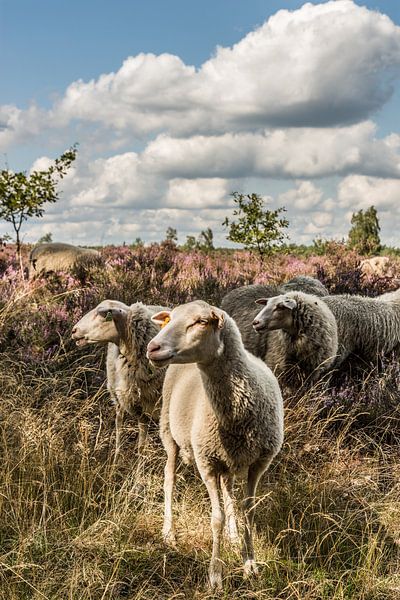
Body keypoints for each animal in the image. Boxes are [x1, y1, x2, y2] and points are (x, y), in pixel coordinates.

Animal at [71, 302, 166, 462]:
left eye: (101, 314)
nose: (73, 330)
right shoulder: (138, 406)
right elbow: (141, 444)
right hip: (118, 396)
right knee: (119, 426)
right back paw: (116, 459)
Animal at [147, 300, 284, 592]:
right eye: (169, 319)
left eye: (201, 322)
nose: (152, 347)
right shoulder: (206, 462)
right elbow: (216, 518)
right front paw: (216, 575)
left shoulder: (259, 462)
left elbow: (248, 512)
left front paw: (250, 565)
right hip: (169, 432)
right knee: (169, 479)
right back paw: (169, 532)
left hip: (228, 457)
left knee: (228, 488)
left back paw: (232, 535)